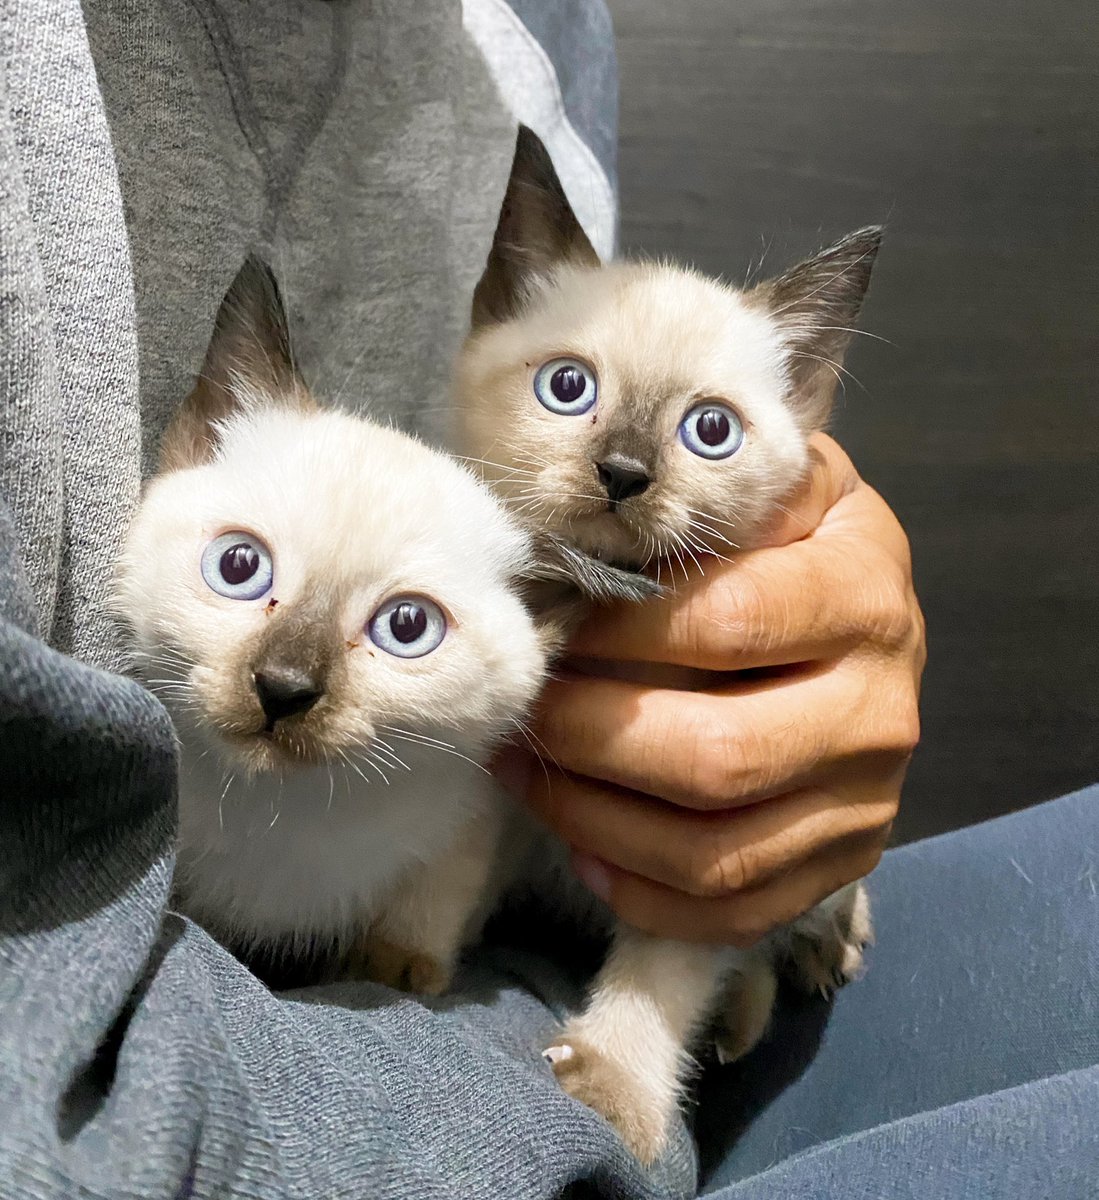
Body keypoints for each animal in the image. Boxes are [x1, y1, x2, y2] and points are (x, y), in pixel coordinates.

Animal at [451, 129, 878, 1161]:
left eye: (709, 431)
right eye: (567, 389)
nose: (622, 473)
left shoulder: (707, 864)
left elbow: (662, 977)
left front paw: (611, 1091)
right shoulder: (493, 783)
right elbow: (441, 881)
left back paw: (809, 956)